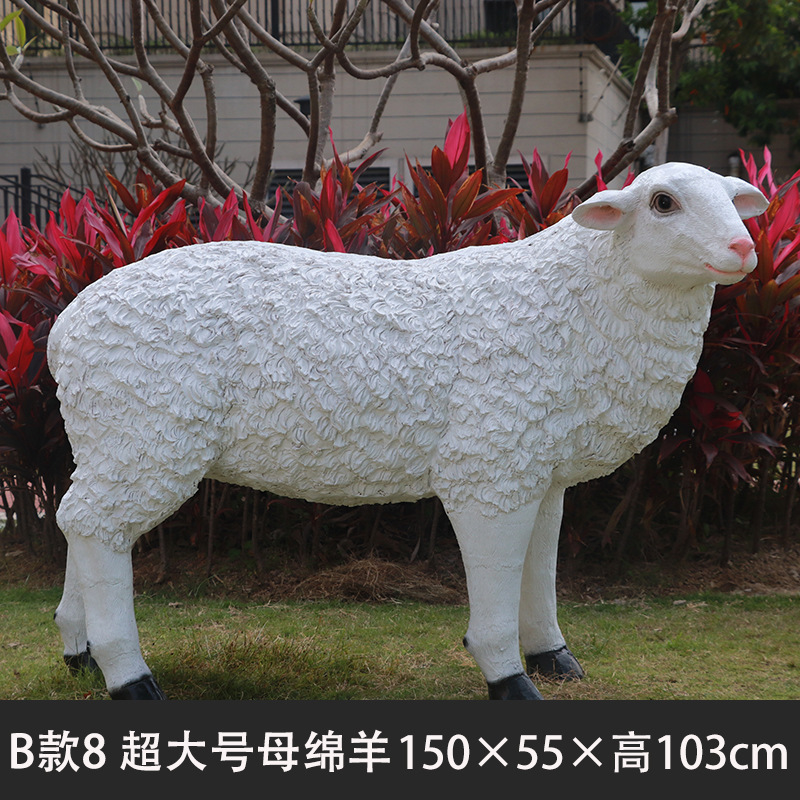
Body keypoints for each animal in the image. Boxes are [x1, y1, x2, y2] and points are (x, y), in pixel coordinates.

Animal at [48, 162, 767, 700]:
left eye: (734, 200)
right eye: (664, 203)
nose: (743, 249)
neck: (577, 305)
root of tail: (63, 330)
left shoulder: (540, 467)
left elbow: (539, 568)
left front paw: (554, 659)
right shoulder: (488, 466)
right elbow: (499, 574)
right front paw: (509, 679)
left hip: (107, 435)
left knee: (77, 521)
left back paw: (79, 654)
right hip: (151, 430)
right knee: (95, 527)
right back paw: (130, 678)